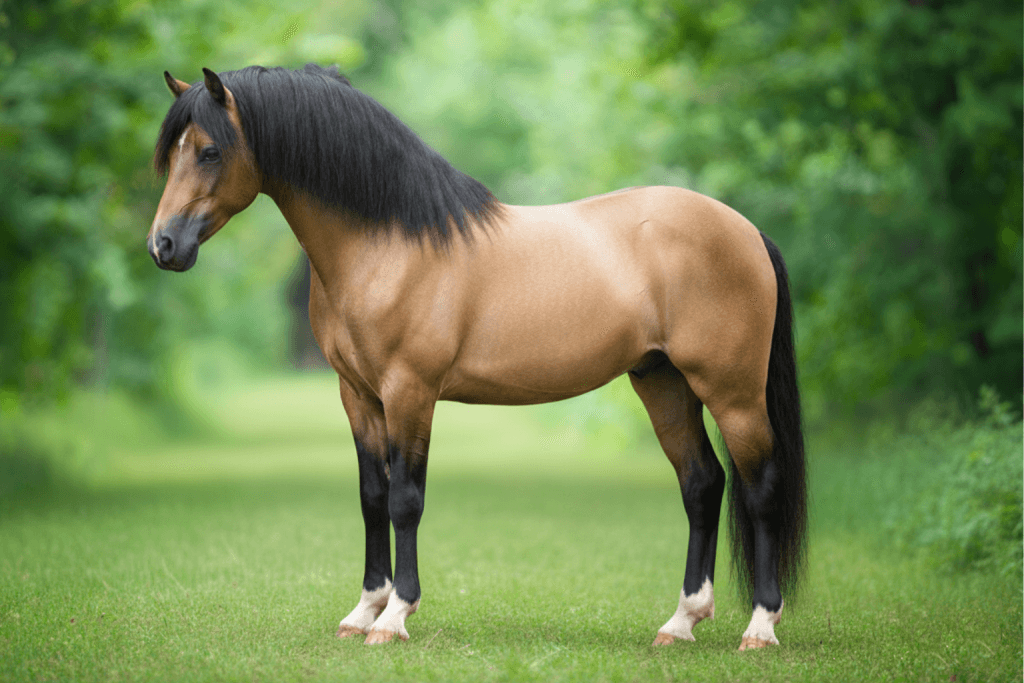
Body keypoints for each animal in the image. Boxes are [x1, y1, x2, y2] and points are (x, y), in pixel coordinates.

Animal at [148, 64, 807, 651]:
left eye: (208, 151)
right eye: (172, 155)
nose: (163, 246)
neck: (389, 243)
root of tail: (747, 230)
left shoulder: (410, 391)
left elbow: (406, 500)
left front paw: (395, 617)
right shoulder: (357, 394)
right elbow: (372, 496)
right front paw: (363, 611)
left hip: (732, 392)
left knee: (760, 488)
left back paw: (760, 627)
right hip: (662, 381)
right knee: (701, 483)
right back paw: (681, 622)